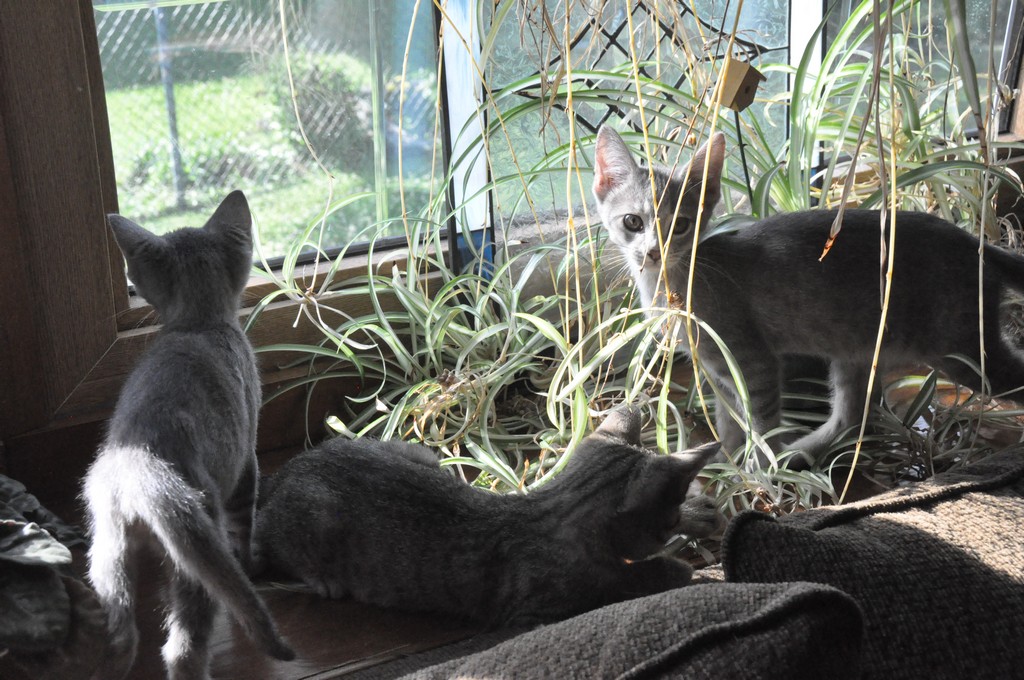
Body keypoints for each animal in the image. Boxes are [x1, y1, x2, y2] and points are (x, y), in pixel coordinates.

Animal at [82, 192, 294, 680]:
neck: (198, 323)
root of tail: (139, 470)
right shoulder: (247, 458)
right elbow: (244, 524)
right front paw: (252, 564)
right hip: (196, 543)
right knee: (182, 648)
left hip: (108, 550)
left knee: (120, 637)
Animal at [593, 125, 1024, 466]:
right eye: (633, 222)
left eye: (681, 225)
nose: (654, 252)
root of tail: (976, 243)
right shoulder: (716, 370)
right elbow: (729, 421)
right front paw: (721, 464)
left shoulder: (753, 360)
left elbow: (761, 423)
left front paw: (760, 473)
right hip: (855, 349)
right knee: (852, 417)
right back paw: (802, 452)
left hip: (965, 351)